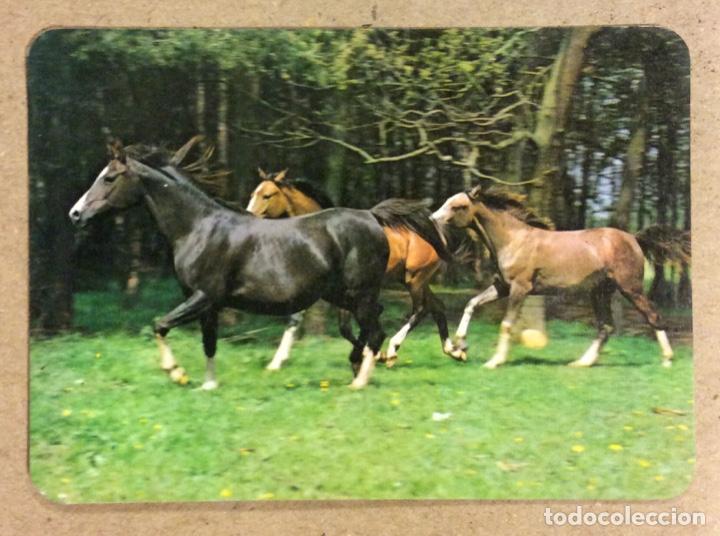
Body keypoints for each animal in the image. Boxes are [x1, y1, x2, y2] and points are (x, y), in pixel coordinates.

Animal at [68, 139, 389, 390]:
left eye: (109, 178)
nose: (75, 214)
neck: (197, 228)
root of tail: (373, 219)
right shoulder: (205, 303)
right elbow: (209, 342)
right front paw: (209, 385)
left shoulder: (205, 295)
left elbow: (160, 324)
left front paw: (177, 373)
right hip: (341, 295)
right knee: (371, 326)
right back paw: (358, 367)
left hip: (359, 294)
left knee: (375, 331)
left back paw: (360, 381)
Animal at [247, 169, 460, 370]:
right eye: (253, 193)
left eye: (267, 195)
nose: (249, 216)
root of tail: (436, 233)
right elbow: (301, 320)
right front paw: (276, 362)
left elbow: (347, 326)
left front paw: (375, 354)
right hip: (412, 279)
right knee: (437, 306)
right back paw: (454, 350)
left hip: (414, 279)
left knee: (421, 308)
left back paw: (393, 350)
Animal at [431, 184, 690, 369]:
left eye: (458, 206)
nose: (432, 219)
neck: (513, 240)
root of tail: (635, 238)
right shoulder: (502, 286)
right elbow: (471, 303)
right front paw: (458, 347)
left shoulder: (520, 288)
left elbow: (507, 324)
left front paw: (493, 361)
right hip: (599, 292)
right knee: (606, 326)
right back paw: (582, 362)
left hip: (630, 288)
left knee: (652, 316)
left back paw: (667, 359)